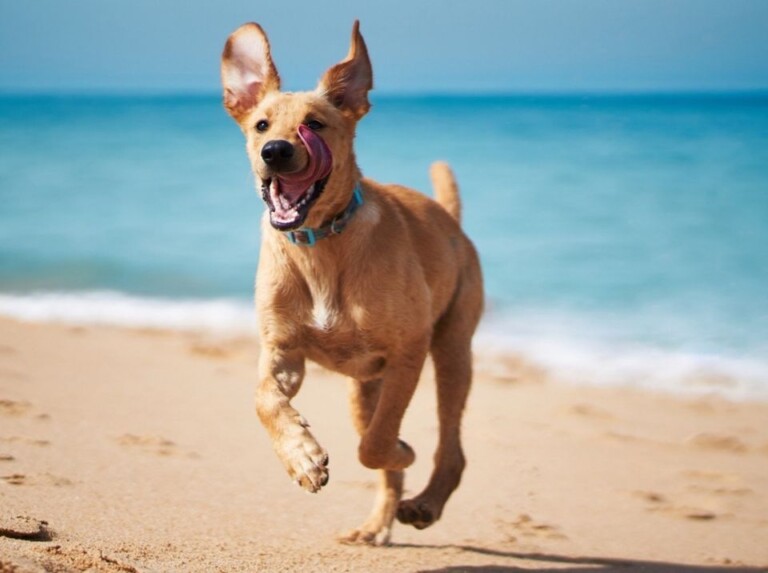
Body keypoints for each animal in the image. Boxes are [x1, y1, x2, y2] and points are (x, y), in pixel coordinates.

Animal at [222, 20, 484, 544]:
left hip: (451, 351)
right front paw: (301, 457)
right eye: (261, 125)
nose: (275, 152)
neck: (320, 245)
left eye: (316, 124)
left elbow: (377, 444)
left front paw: (400, 448)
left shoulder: (409, 351)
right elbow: (263, 399)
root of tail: (451, 220)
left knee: (449, 447)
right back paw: (376, 525)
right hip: (364, 389)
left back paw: (425, 503)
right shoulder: (282, 351)